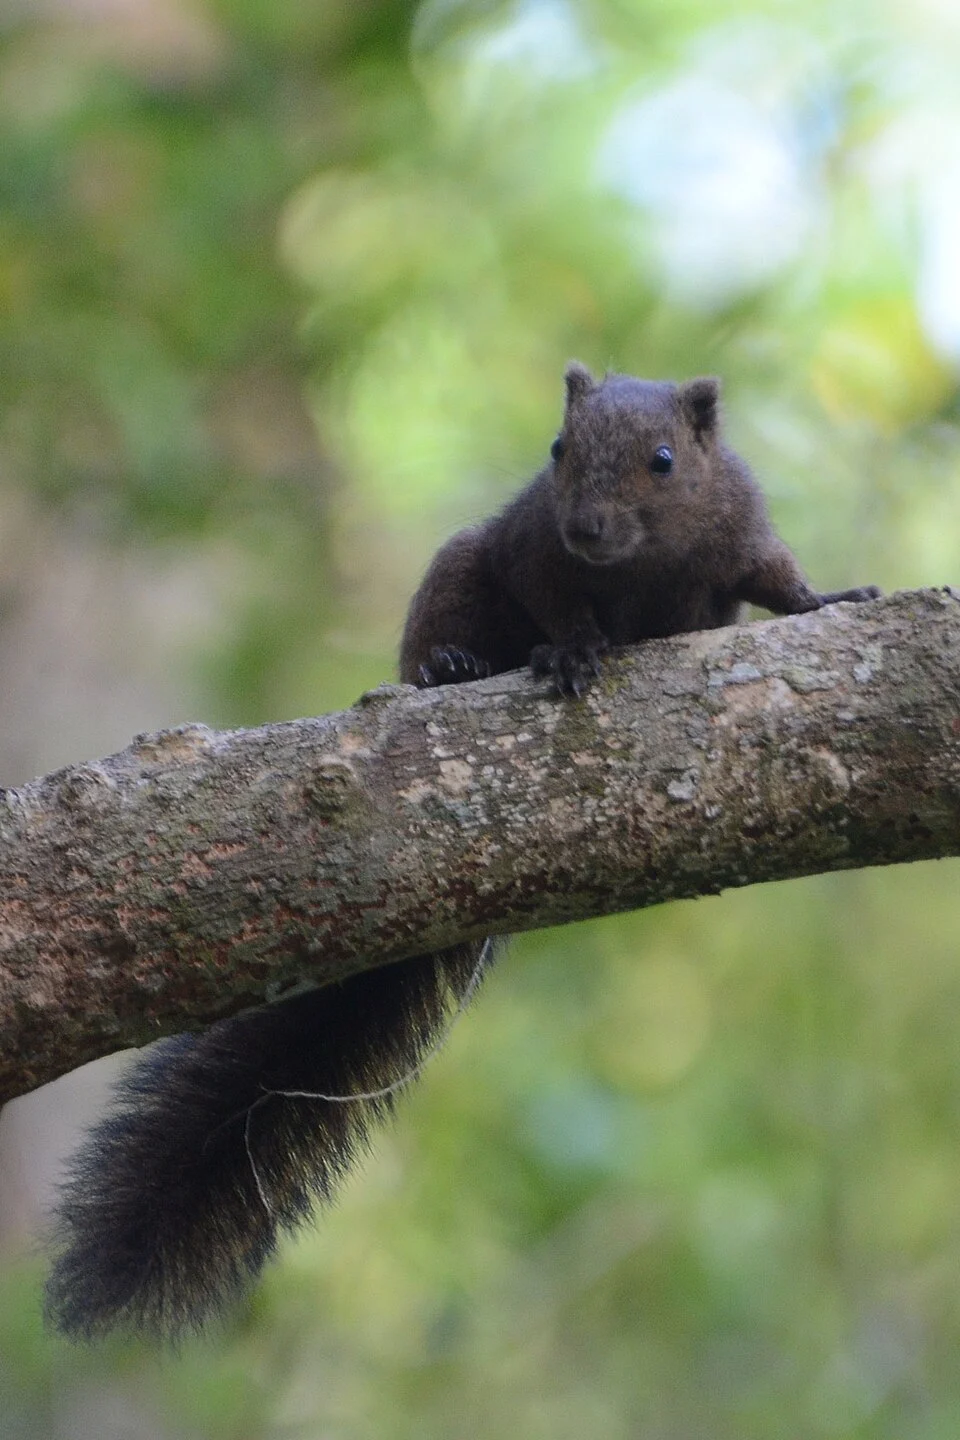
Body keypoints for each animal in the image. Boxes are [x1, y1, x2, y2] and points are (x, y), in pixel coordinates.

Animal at [45, 362, 880, 1342]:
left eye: (665, 460)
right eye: (558, 448)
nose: (586, 527)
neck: (639, 563)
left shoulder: (738, 533)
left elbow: (779, 580)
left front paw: (832, 599)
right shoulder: (531, 550)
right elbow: (557, 602)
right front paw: (573, 649)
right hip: (455, 572)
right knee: (439, 645)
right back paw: (452, 669)